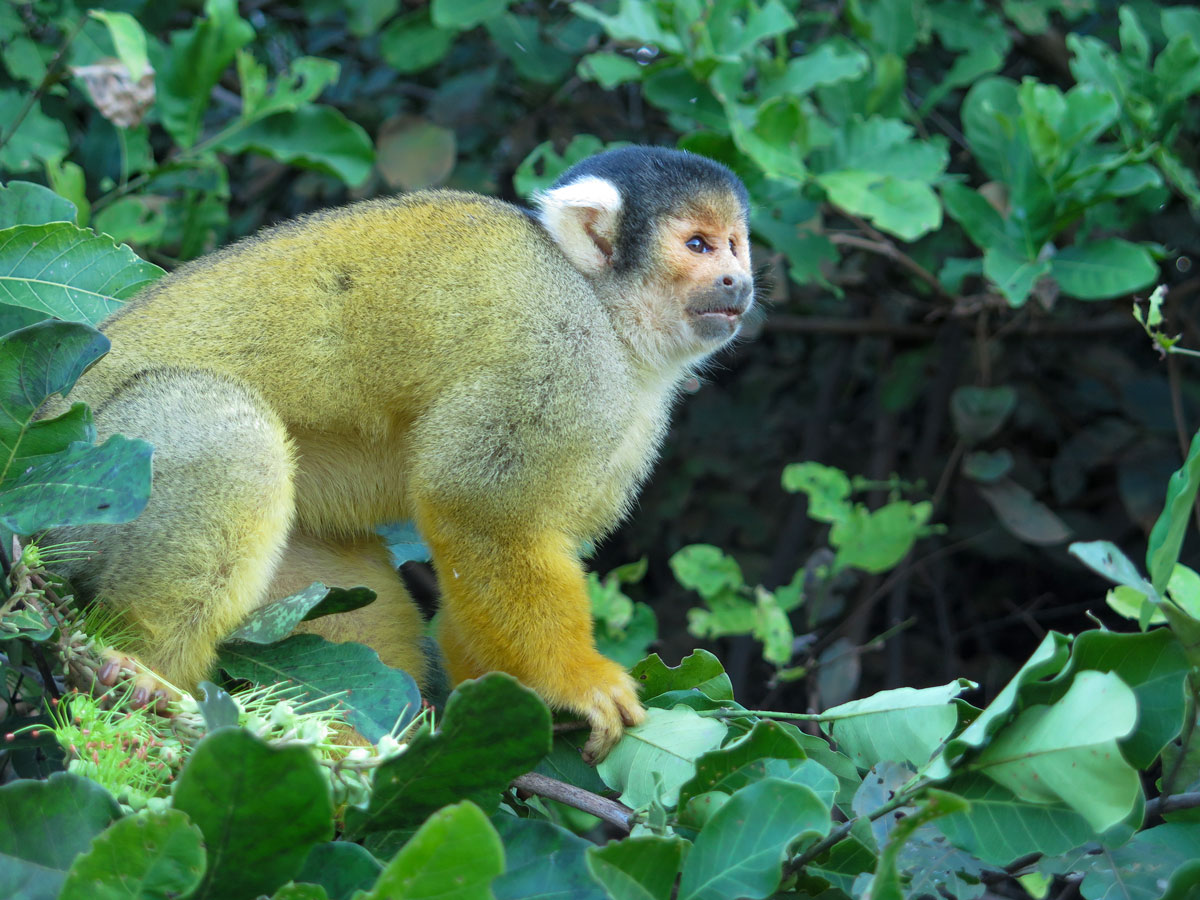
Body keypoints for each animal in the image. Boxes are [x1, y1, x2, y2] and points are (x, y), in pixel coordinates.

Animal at [51, 148, 753, 763]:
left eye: (735, 243)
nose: (738, 280)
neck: (608, 314)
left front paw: (494, 708)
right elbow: (478, 510)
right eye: (698, 245)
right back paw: (143, 687)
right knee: (225, 432)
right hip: (96, 468)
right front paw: (576, 684)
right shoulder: (559, 352)